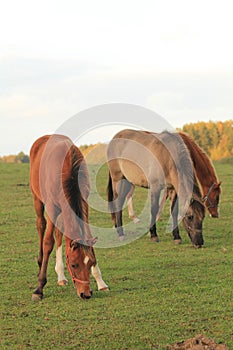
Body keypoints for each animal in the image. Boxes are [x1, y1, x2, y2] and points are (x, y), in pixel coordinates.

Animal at [29, 135, 109, 300]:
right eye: (73, 265)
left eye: (90, 263)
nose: (86, 294)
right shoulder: (52, 208)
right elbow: (48, 243)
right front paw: (39, 288)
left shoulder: (84, 204)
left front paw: (101, 282)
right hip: (37, 200)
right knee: (41, 225)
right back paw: (40, 264)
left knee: (59, 233)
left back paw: (61, 276)